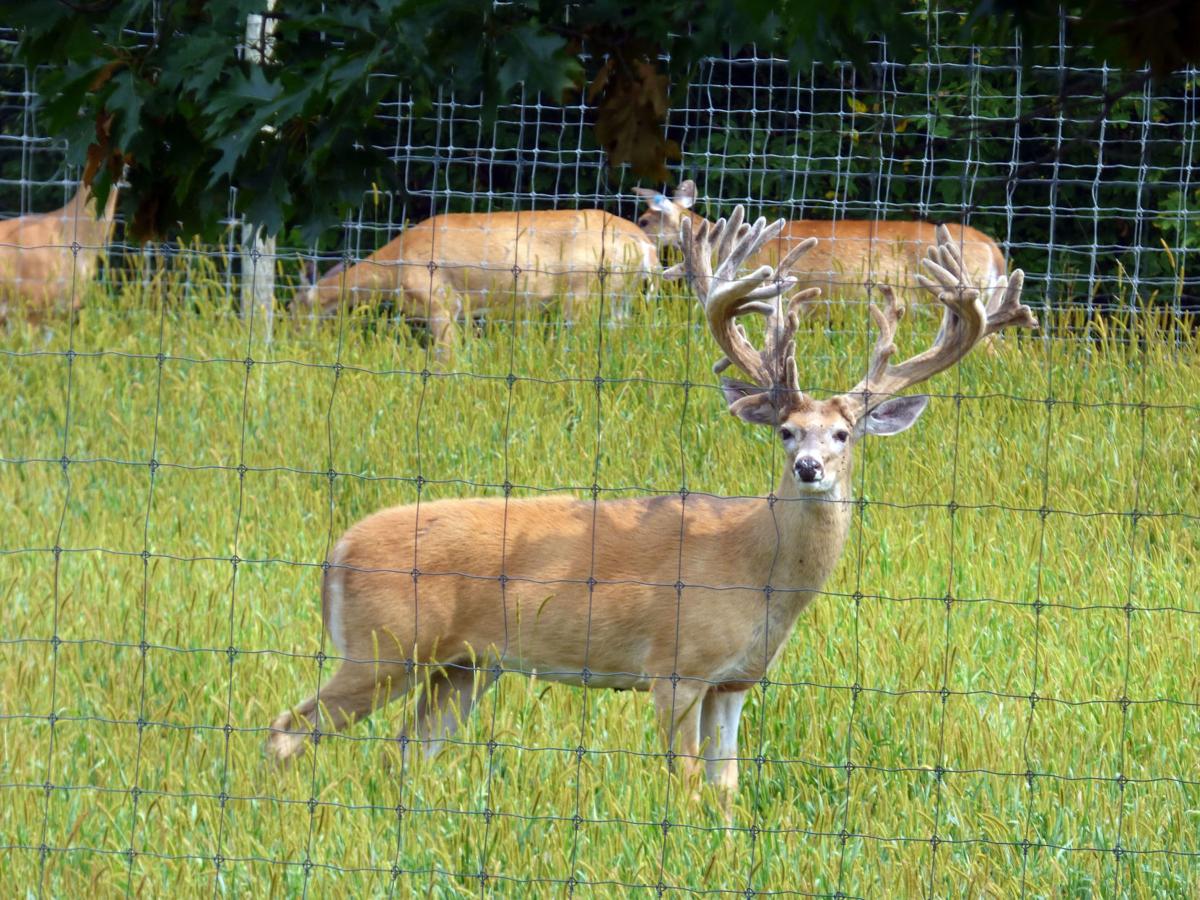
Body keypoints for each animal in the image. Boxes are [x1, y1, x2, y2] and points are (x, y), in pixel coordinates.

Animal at [294, 209, 659, 345]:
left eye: (294, 309)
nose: (293, 338)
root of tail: (643, 243)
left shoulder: (440, 301)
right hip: (620, 296)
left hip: (585, 292)